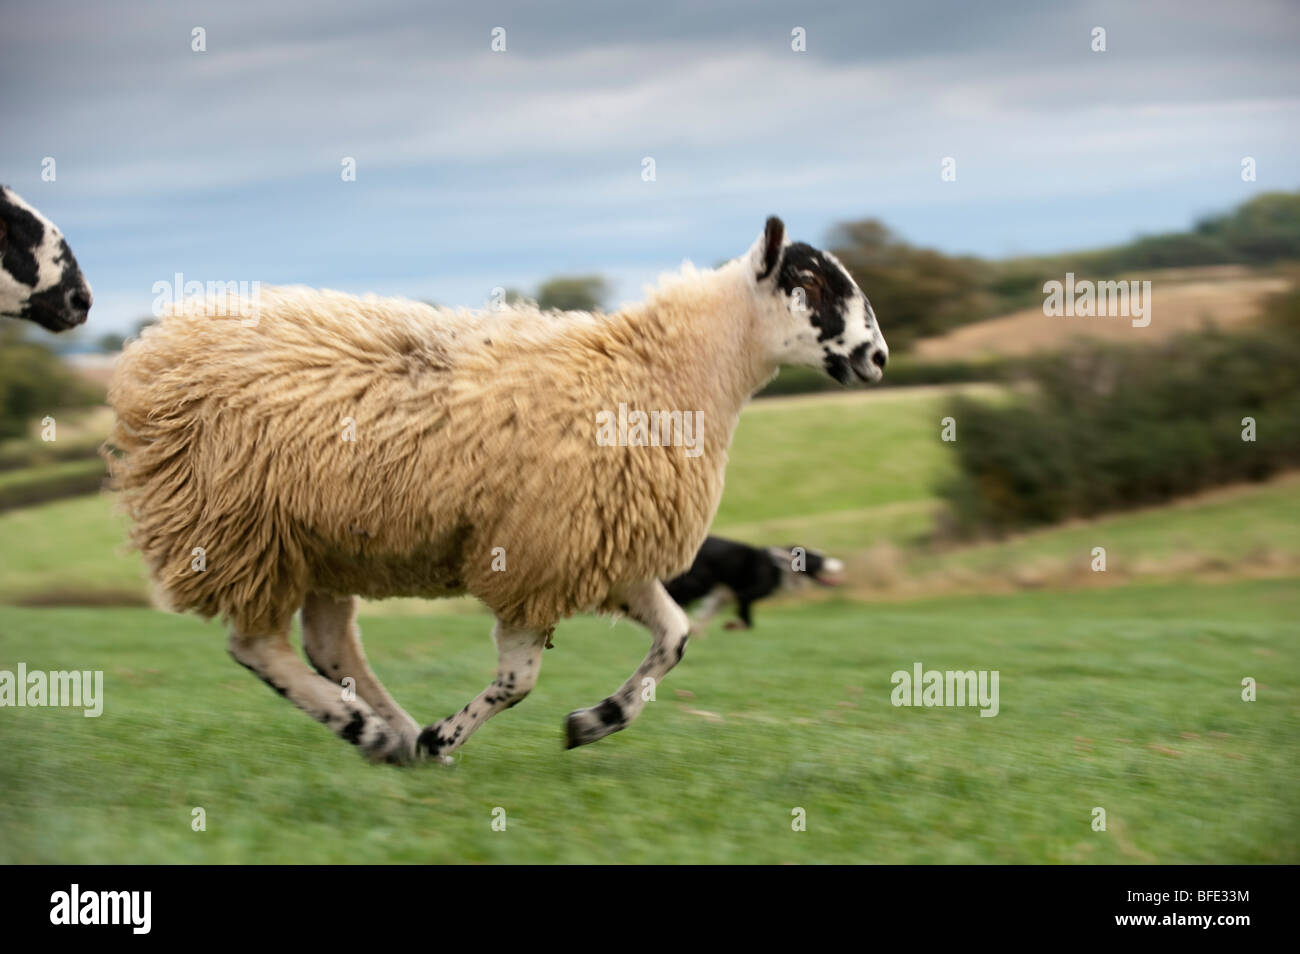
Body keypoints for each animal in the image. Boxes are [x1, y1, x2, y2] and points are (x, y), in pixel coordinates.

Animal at [665, 535, 847, 631]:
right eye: (820, 560)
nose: (841, 564)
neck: (781, 565)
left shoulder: (722, 596)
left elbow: (704, 617)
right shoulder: (745, 594)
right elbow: (748, 621)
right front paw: (733, 625)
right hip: (700, 584)